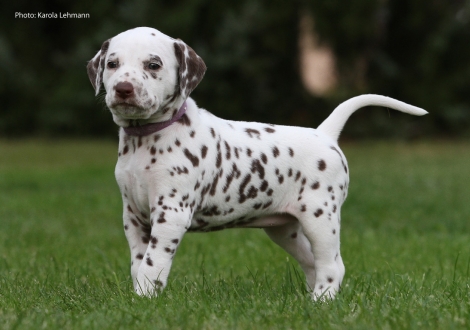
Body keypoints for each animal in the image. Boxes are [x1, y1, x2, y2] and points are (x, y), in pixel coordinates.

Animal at [86, 26, 428, 300]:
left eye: (153, 64)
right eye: (112, 64)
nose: (123, 89)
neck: (146, 139)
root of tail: (324, 133)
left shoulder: (171, 213)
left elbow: (153, 262)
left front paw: (145, 298)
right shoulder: (134, 216)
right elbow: (138, 262)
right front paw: (138, 297)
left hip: (321, 218)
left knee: (333, 265)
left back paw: (322, 301)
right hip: (286, 230)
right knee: (311, 262)